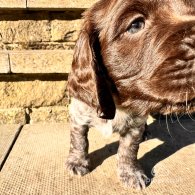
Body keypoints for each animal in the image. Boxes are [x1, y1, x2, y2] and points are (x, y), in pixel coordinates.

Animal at [65, 0, 195, 189]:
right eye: (136, 25)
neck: (118, 102)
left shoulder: (135, 125)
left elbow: (128, 150)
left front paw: (130, 173)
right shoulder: (78, 114)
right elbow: (78, 140)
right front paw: (77, 162)